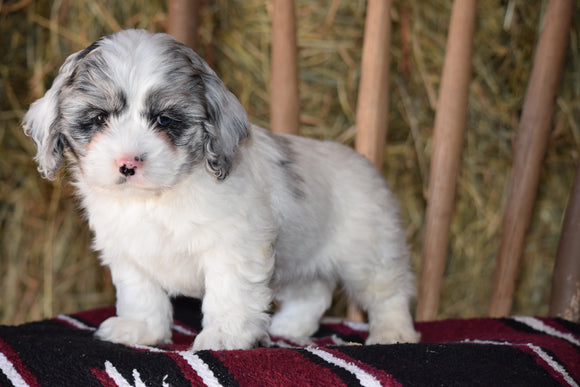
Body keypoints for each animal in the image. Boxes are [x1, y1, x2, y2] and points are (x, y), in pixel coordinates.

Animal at [23, 29, 422, 352]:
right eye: (99, 118)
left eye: (164, 120)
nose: (127, 163)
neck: (158, 198)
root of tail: (364, 162)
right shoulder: (128, 253)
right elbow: (141, 294)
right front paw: (141, 330)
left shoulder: (235, 249)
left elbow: (229, 294)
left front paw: (225, 337)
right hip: (302, 258)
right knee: (313, 294)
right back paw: (287, 328)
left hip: (370, 255)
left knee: (389, 294)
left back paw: (393, 333)